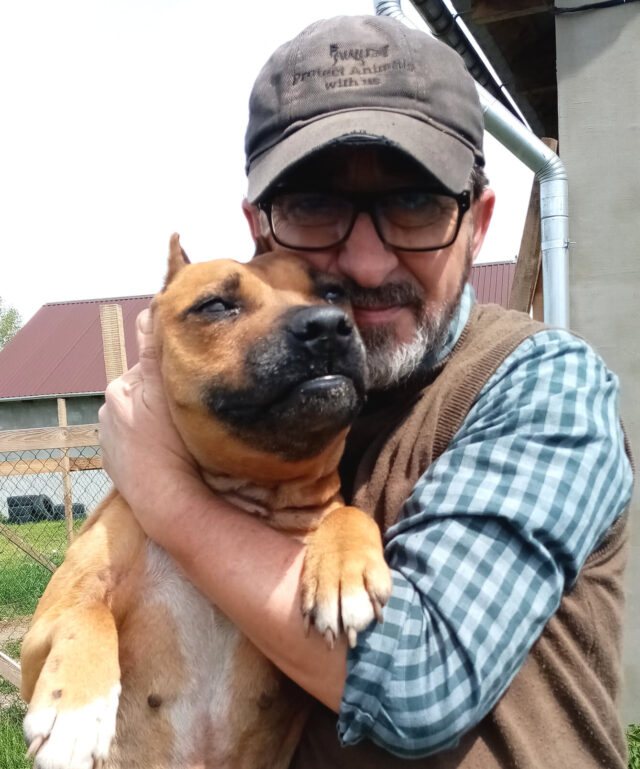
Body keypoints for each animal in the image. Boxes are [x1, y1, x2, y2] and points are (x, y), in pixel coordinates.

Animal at [20, 236, 392, 768]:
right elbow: (85, 613)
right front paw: (75, 712)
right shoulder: (44, 628)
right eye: (215, 305)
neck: (249, 490)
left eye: (334, 292)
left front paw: (345, 571)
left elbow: (349, 510)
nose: (326, 325)